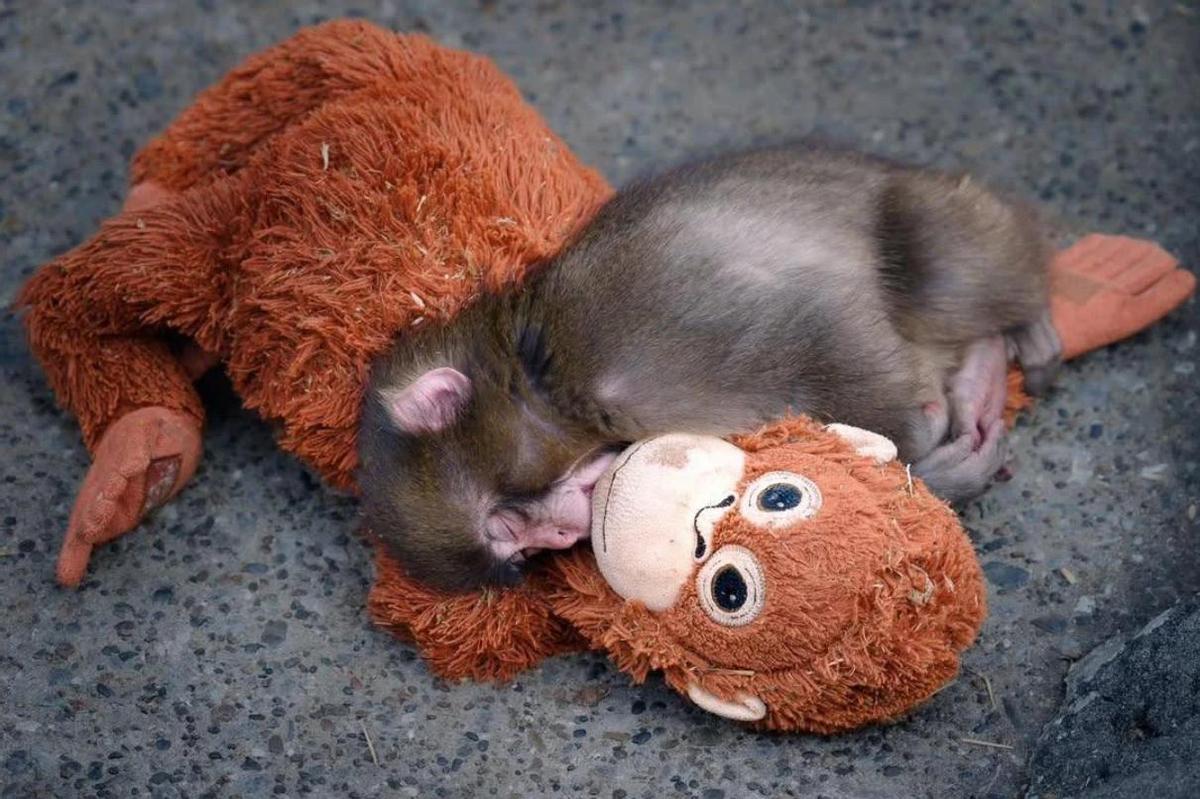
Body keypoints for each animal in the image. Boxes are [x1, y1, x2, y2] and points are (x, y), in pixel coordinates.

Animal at [357, 143, 1062, 591]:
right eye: (523, 551)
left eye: (506, 524)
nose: (559, 536)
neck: (543, 380)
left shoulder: (623, 349)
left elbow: (818, 318)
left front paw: (920, 446)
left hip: (935, 213)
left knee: (939, 266)